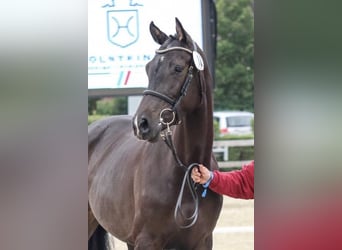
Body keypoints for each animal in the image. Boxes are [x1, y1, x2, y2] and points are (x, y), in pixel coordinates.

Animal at [87, 18, 222, 249]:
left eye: (177, 68)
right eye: (148, 68)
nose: (141, 124)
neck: (185, 171)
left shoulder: (203, 241)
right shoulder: (147, 240)